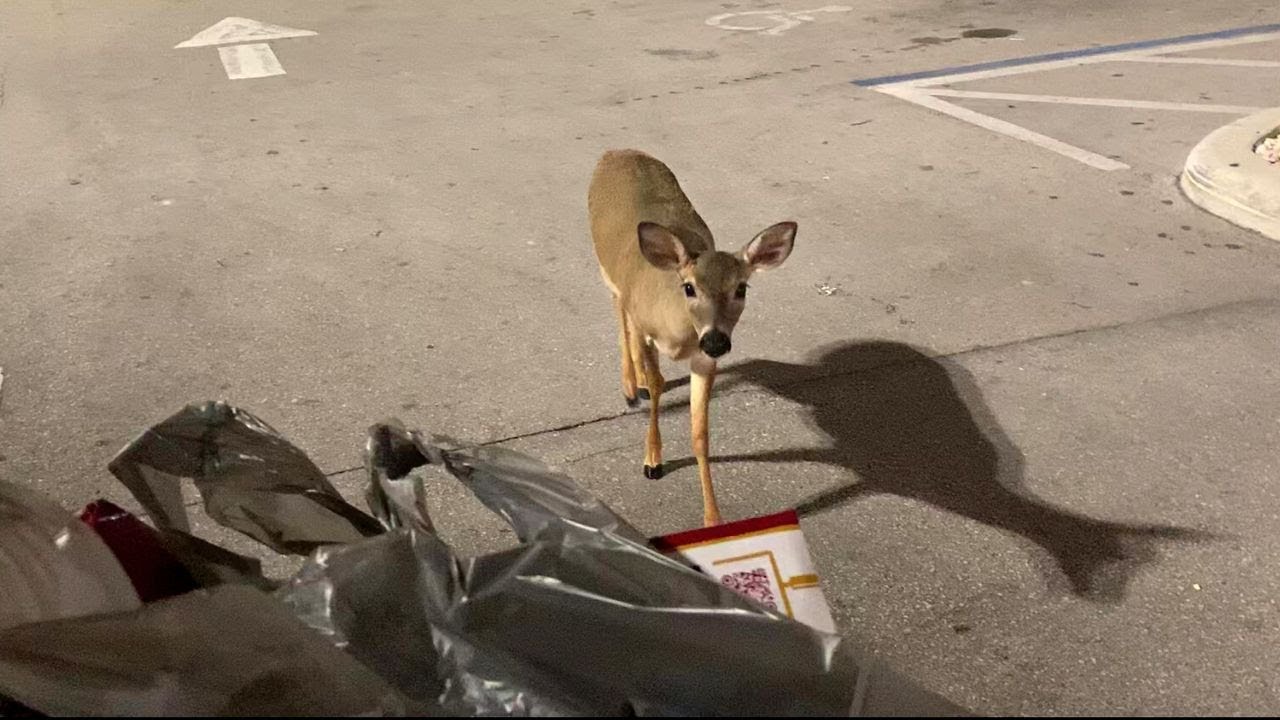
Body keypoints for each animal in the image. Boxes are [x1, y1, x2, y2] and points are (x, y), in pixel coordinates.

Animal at [587, 149, 796, 527]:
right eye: (689, 287)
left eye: (741, 288)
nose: (716, 341)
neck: (679, 333)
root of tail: (617, 151)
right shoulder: (648, 328)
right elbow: (658, 386)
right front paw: (652, 461)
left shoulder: (703, 359)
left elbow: (701, 434)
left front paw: (713, 519)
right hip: (606, 268)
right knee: (619, 312)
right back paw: (630, 385)